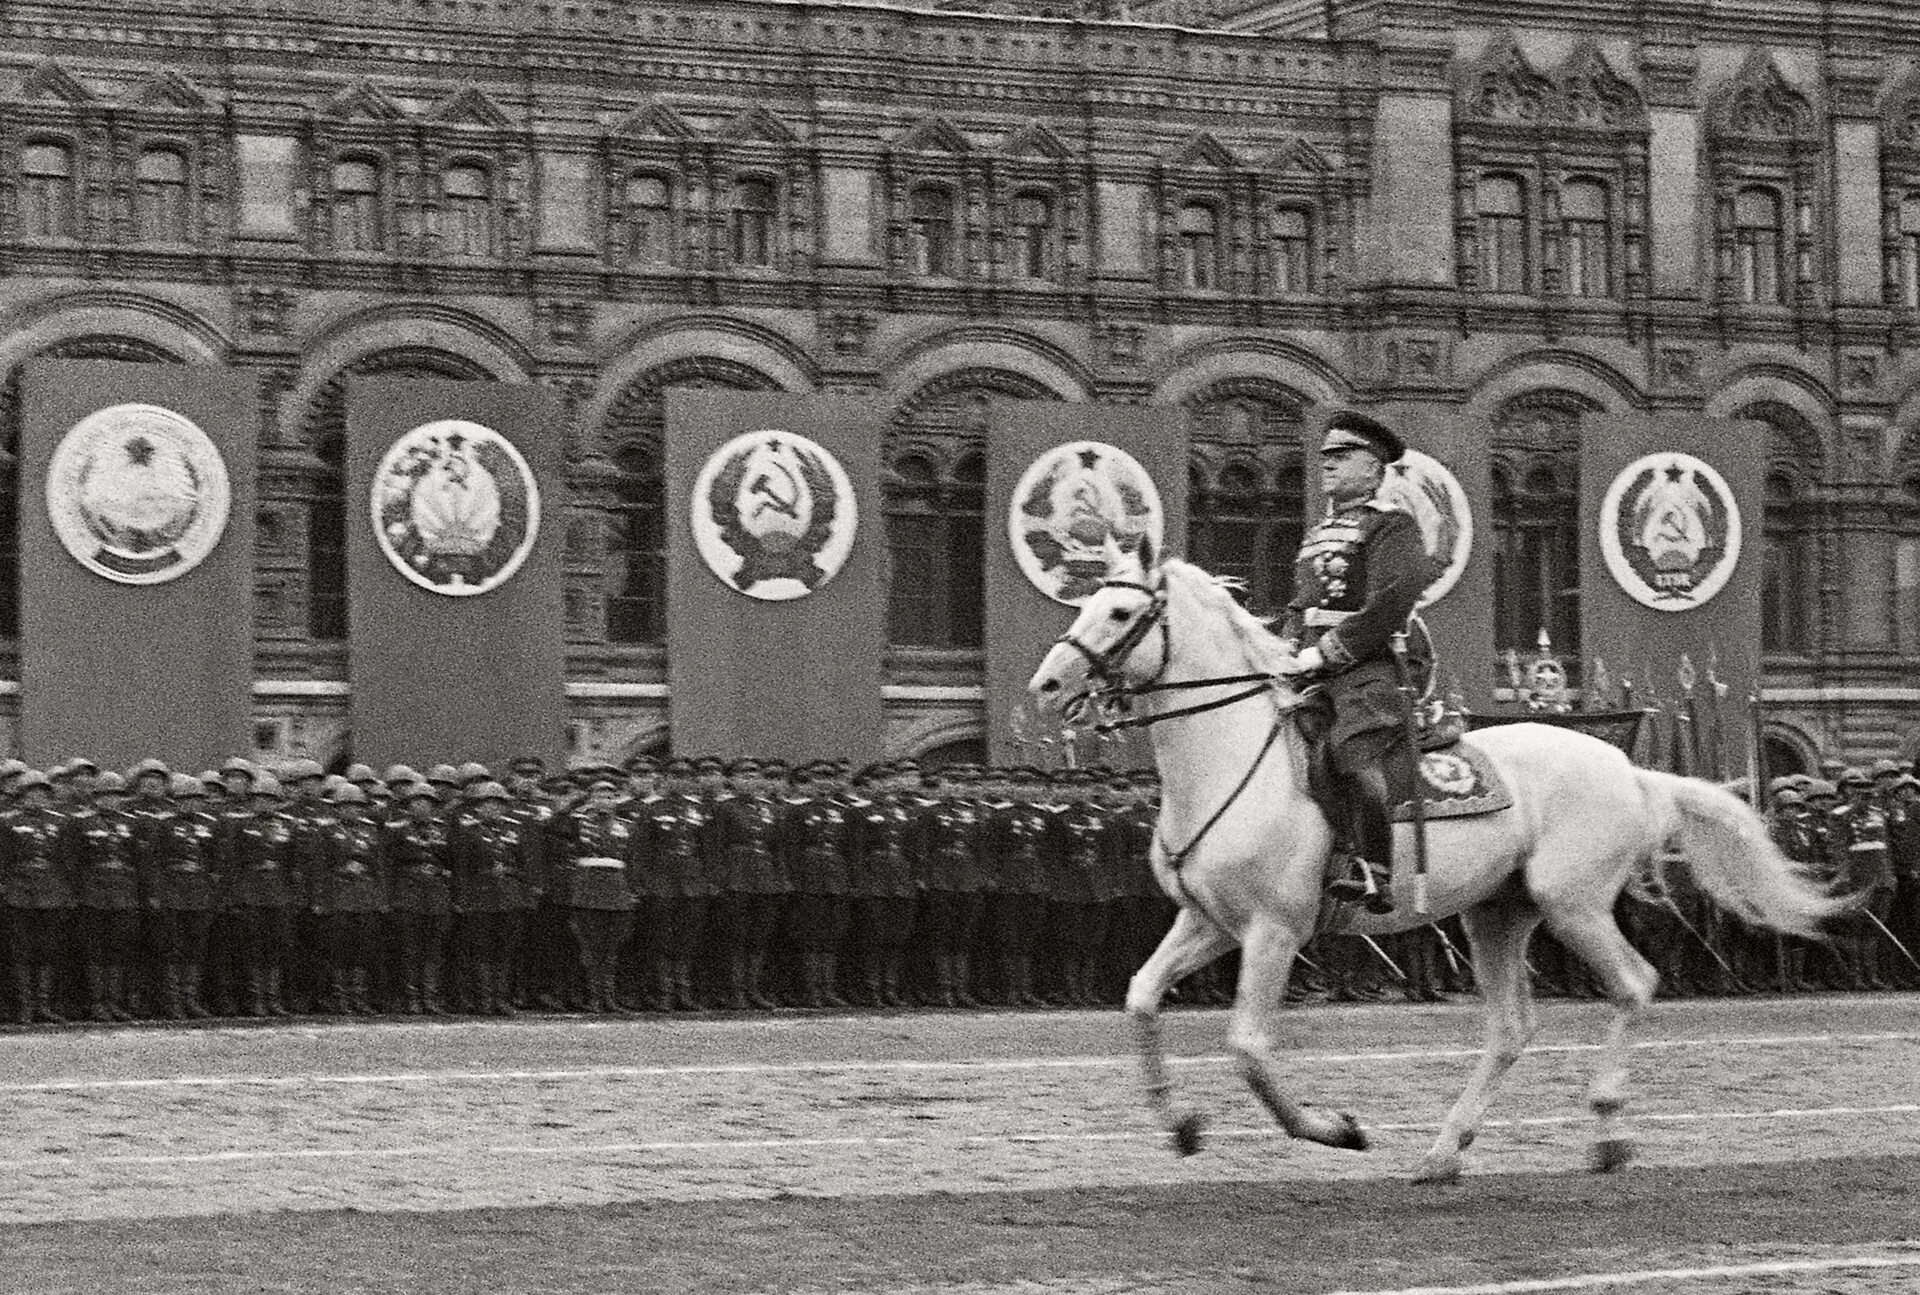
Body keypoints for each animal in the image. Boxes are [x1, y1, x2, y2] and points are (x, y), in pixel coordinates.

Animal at [1029, 549, 1835, 1175]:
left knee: (1634, 984)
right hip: (1497, 915)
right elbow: (1140, 997)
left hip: (1571, 903)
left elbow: (1249, 1049)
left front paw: (1333, 1129)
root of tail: (1628, 768)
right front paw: (1181, 1122)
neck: (1231, 759)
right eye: (1086, 600)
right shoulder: (1208, 922)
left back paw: (1606, 1130)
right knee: (1510, 1028)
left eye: (1118, 612)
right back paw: (1446, 1151)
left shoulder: (1273, 930)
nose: (1047, 684)